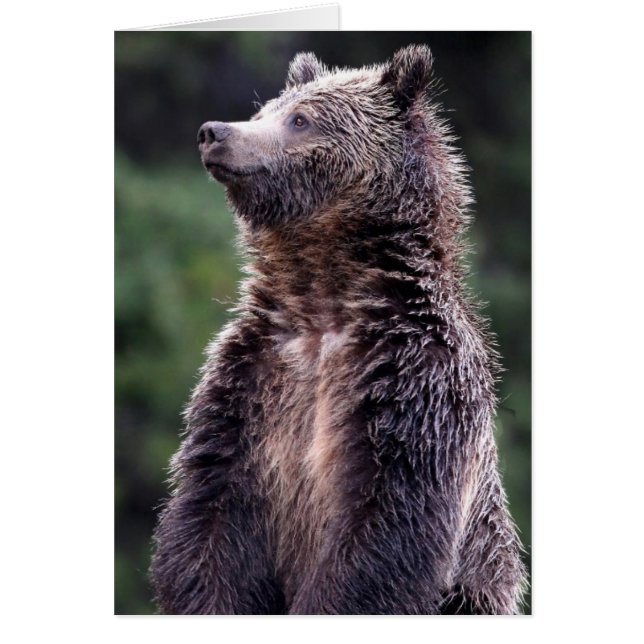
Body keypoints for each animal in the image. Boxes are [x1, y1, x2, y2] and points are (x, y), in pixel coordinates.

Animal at [150, 45, 528, 615]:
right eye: (265, 109)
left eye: (299, 119)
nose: (214, 131)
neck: (322, 300)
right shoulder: (248, 384)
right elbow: (208, 513)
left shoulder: (413, 382)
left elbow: (384, 529)